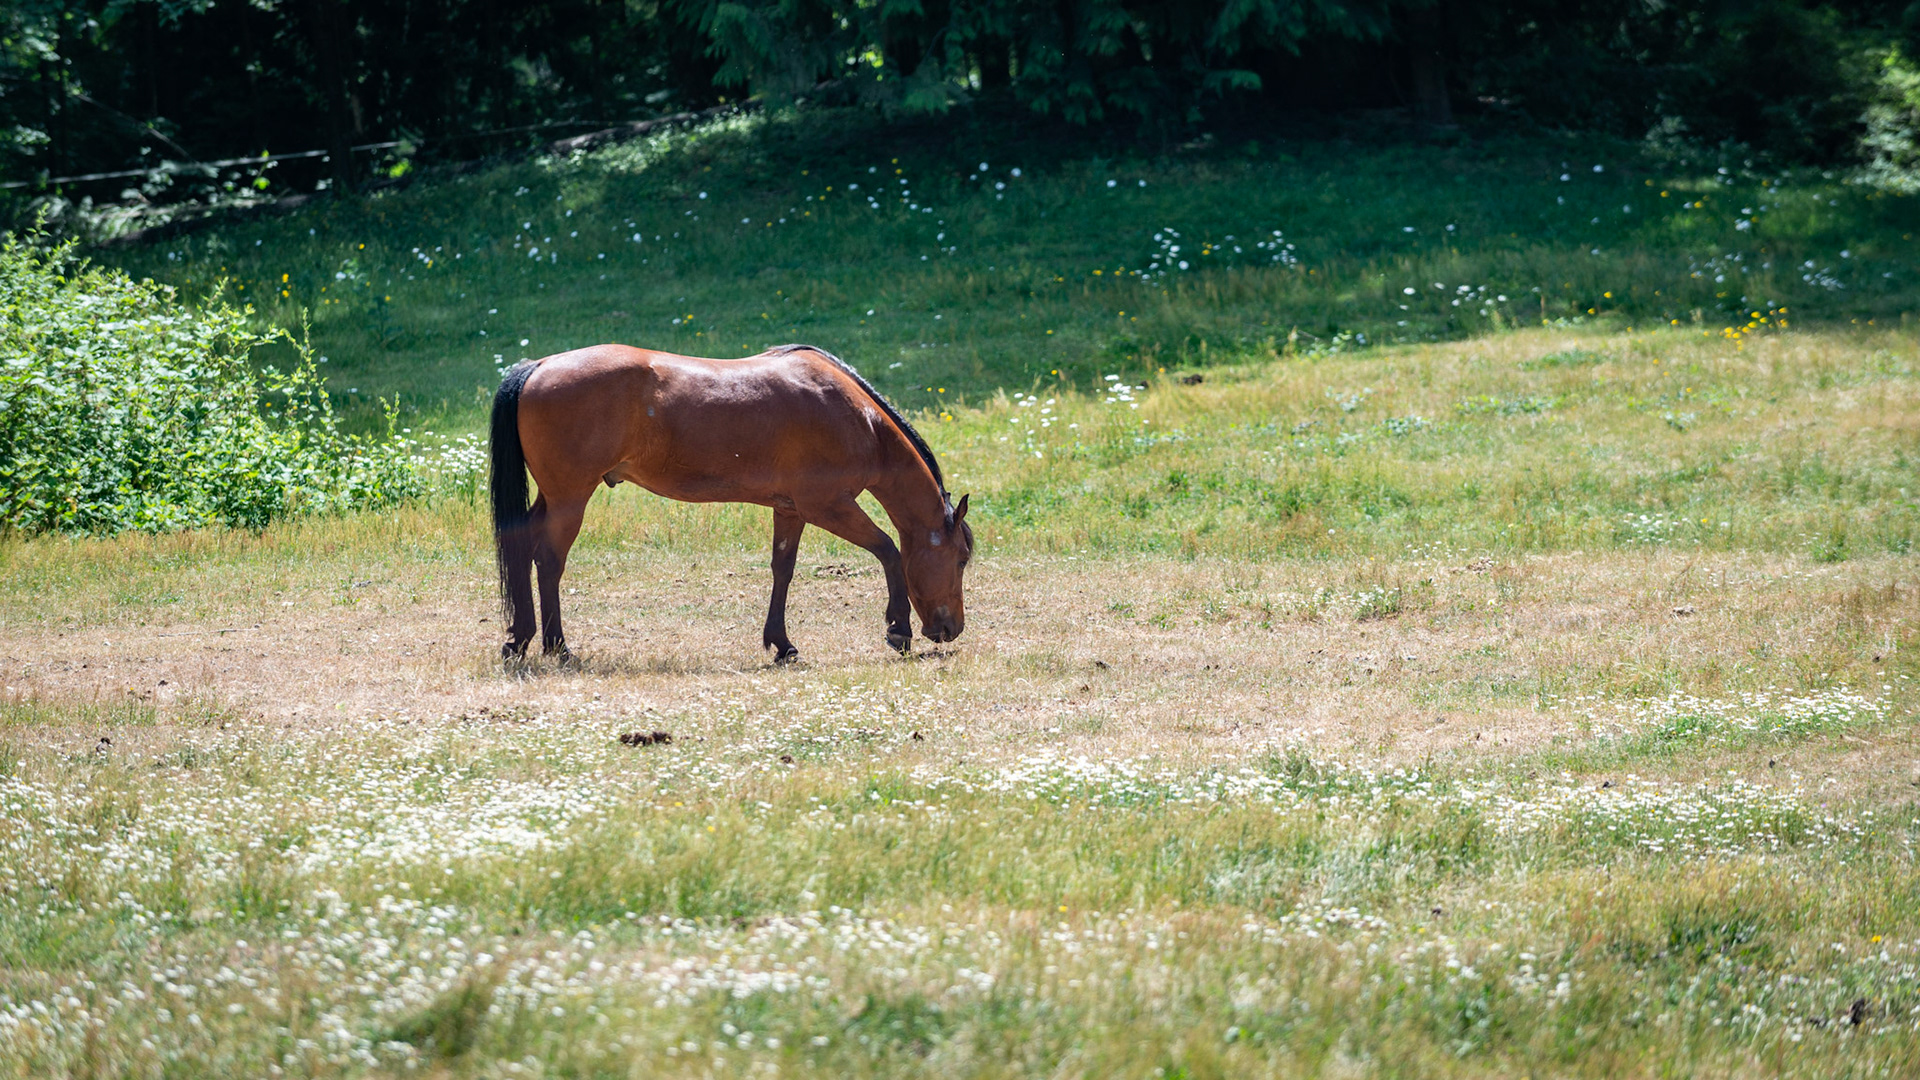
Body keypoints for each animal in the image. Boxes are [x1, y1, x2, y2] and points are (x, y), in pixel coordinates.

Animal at [489, 342, 971, 663]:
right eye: (963, 558)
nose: (951, 629)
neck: (858, 419)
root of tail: (538, 366)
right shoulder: (828, 507)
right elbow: (889, 551)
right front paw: (898, 629)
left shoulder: (790, 510)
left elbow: (783, 570)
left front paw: (781, 643)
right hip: (571, 498)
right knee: (549, 561)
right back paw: (558, 646)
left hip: (554, 497)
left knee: (520, 546)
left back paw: (520, 638)